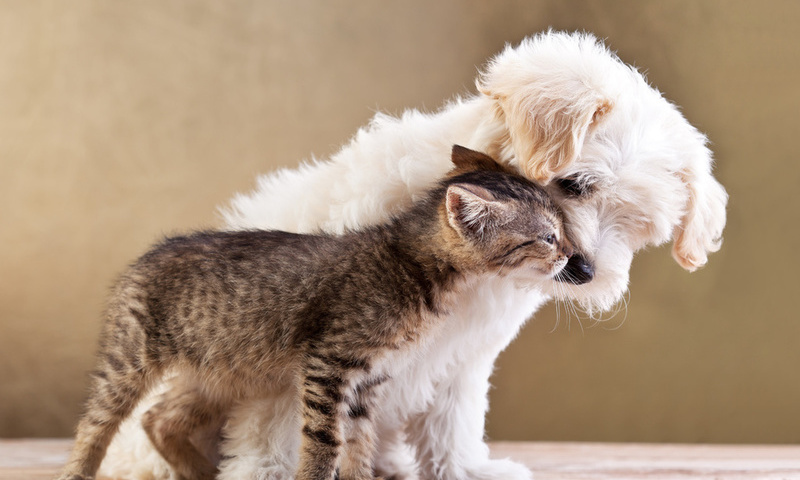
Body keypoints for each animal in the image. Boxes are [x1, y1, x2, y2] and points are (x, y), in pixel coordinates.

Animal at [56, 146, 572, 480]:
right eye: (548, 237)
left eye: (561, 230)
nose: (572, 256)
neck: (412, 264)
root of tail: (146, 255)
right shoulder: (329, 364)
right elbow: (325, 441)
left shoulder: (369, 379)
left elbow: (359, 442)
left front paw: (361, 476)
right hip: (130, 359)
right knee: (95, 423)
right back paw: (78, 470)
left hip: (218, 372)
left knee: (158, 419)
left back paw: (201, 472)